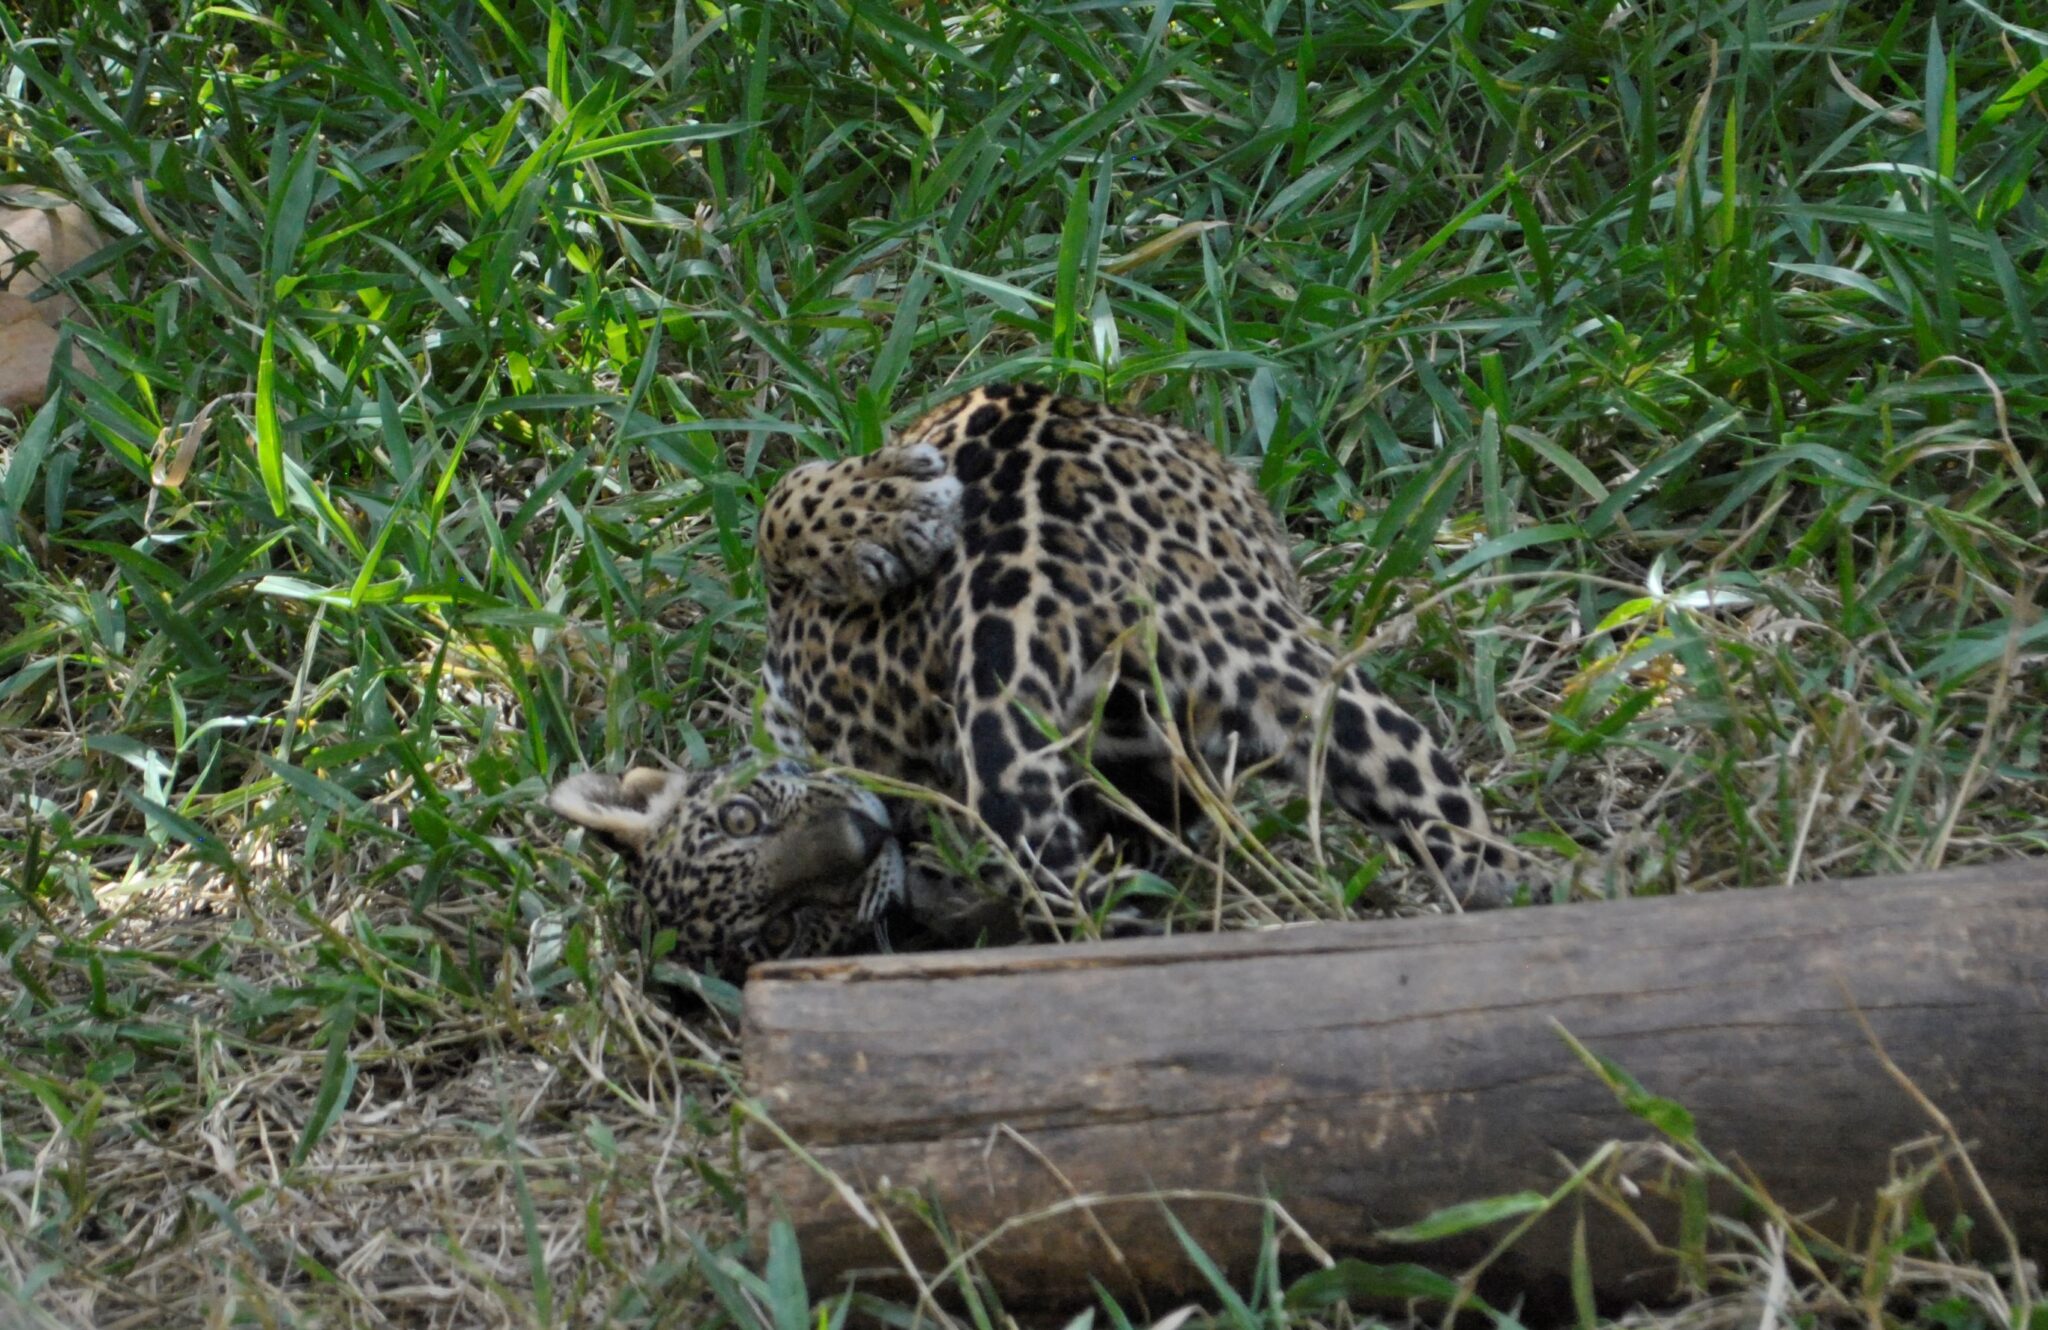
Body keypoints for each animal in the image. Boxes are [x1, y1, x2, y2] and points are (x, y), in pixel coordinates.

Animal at [552, 379, 1531, 979]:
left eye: (744, 817)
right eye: (782, 930)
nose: (863, 842)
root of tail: (1007, 611)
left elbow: (778, 506)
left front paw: (883, 509)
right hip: (1281, 659)